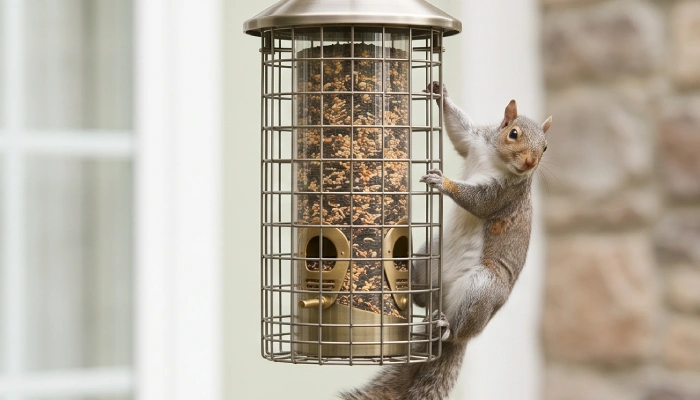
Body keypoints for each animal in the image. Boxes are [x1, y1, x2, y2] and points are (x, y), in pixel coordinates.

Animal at [340, 81, 552, 400]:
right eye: (513, 133)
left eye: (546, 147)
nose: (530, 162)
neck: (496, 160)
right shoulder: (474, 142)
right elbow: (458, 131)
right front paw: (441, 94)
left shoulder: (503, 194)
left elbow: (477, 201)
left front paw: (443, 182)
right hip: (430, 253)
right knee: (422, 300)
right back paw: (415, 295)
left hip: (482, 287)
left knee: (457, 327)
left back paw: (446, 326)